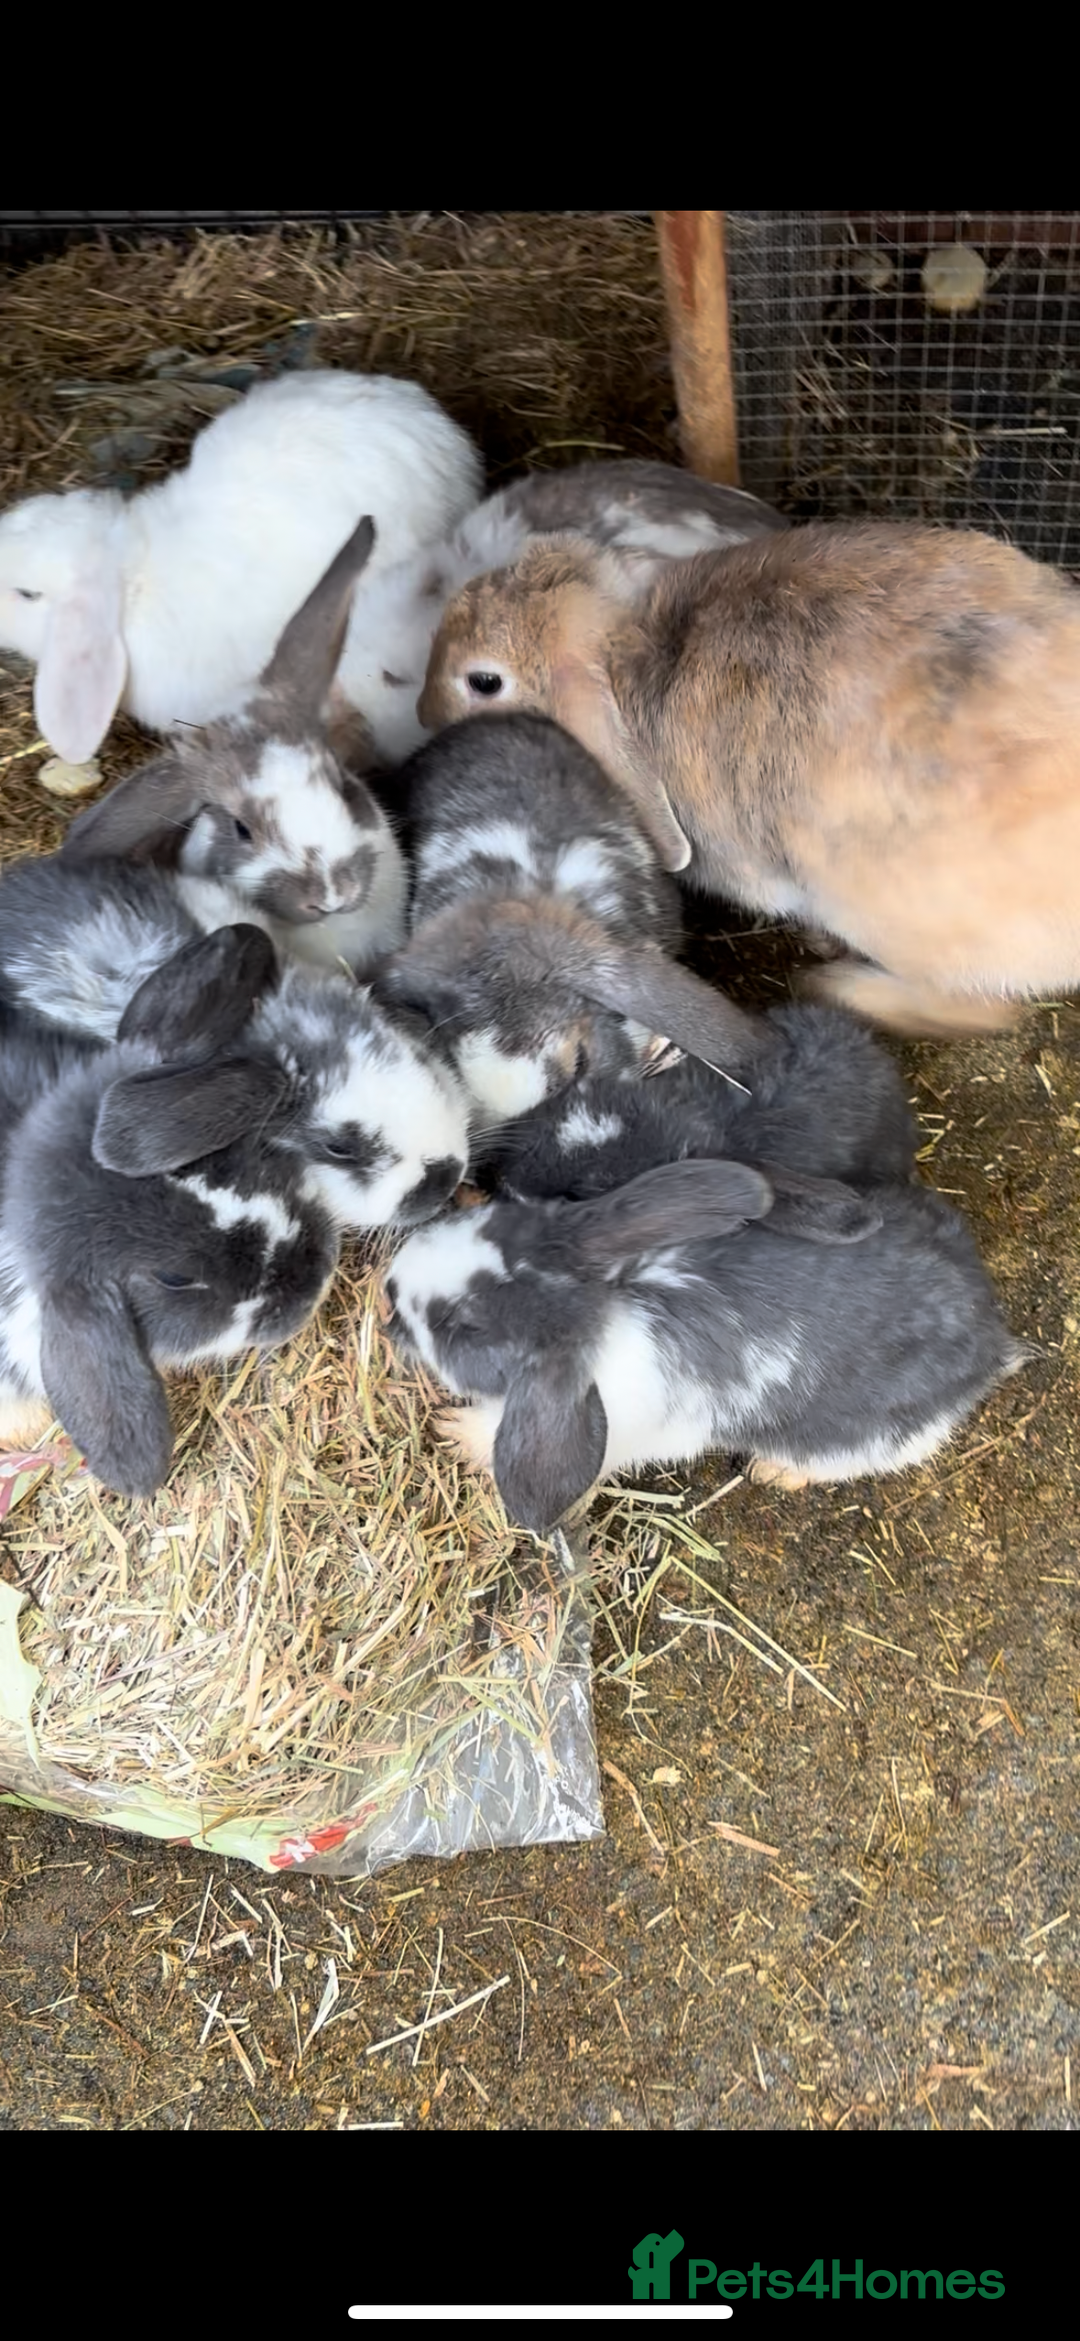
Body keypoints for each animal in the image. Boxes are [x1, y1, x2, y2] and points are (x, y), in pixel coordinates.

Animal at [384, 1158, 1028, 1535]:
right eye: (489, 1228)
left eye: (459, 1327)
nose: (390, 1291)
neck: (604, 1302)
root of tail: (988, 1338)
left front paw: (457, 1434)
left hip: (864, 1439)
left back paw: (776, 1472)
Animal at [419, 518, 1080, 1039]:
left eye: (483, 681)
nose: (423, 715)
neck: (619, 655)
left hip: (881, 914)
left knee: (981, 1010)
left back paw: (838, 985)